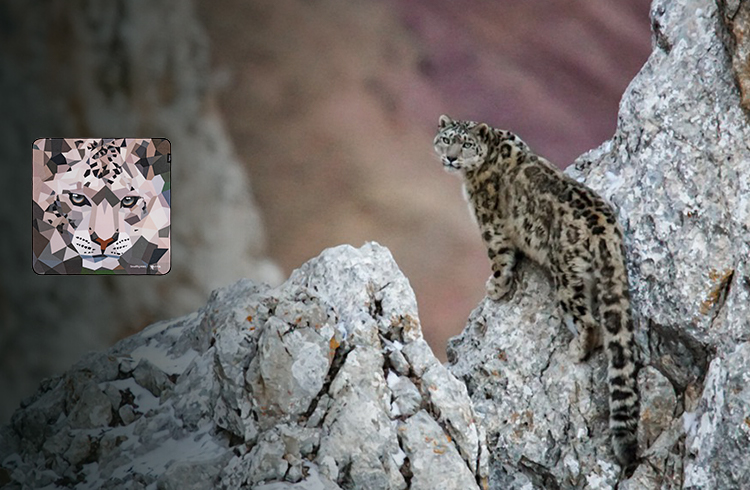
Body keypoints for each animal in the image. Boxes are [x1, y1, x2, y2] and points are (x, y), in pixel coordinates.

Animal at [433, 115, 640, 470]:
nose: (451, 158)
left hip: (566, 278)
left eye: (466, 144)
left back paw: (576, 349)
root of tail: (604, 228)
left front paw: (496, 288)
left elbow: (499, 260)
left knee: (590, 323)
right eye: (446, 139)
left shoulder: (491, 227)